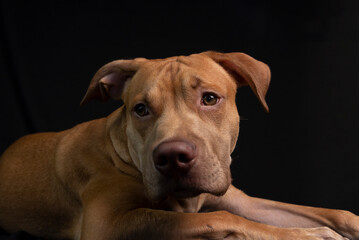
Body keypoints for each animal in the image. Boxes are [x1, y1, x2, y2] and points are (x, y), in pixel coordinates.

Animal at [0, 51, 359, 239]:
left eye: (210, 99)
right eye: (140, 109)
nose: (173, 157)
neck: (122, 154)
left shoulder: (243, 200)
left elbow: (334, 213)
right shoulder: (106, 225)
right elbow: (221, 219)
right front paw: (308, 234)